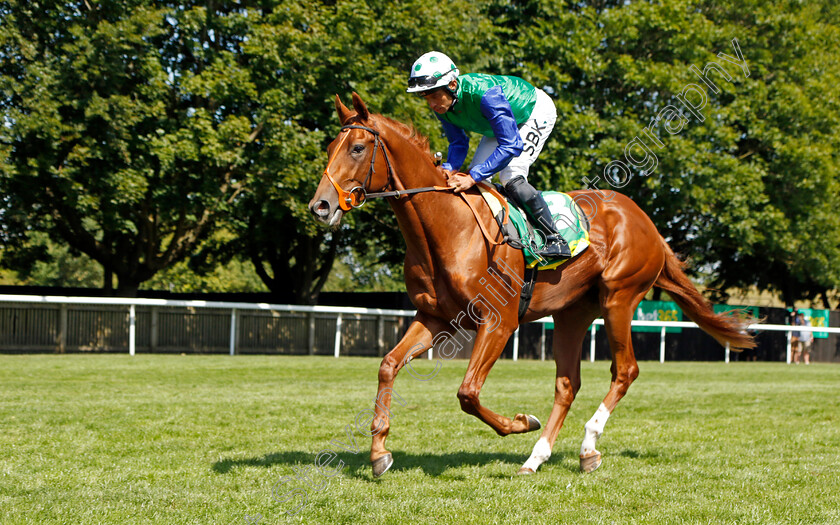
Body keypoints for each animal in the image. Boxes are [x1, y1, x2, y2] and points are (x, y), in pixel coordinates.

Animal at [308, 92, 756, 476]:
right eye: (330, 147)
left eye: (357, 148)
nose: (320, 206)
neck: (447, 228)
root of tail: (645, 221)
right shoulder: (435, 318)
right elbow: (388, 365)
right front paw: (379, 452)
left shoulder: (498, 321)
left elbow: (468, 392)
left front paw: (521, 422)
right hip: (573, 313)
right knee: (567, 384)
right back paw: (538, 457)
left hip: (619, 299)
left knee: (625, 371)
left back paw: (587, 445)